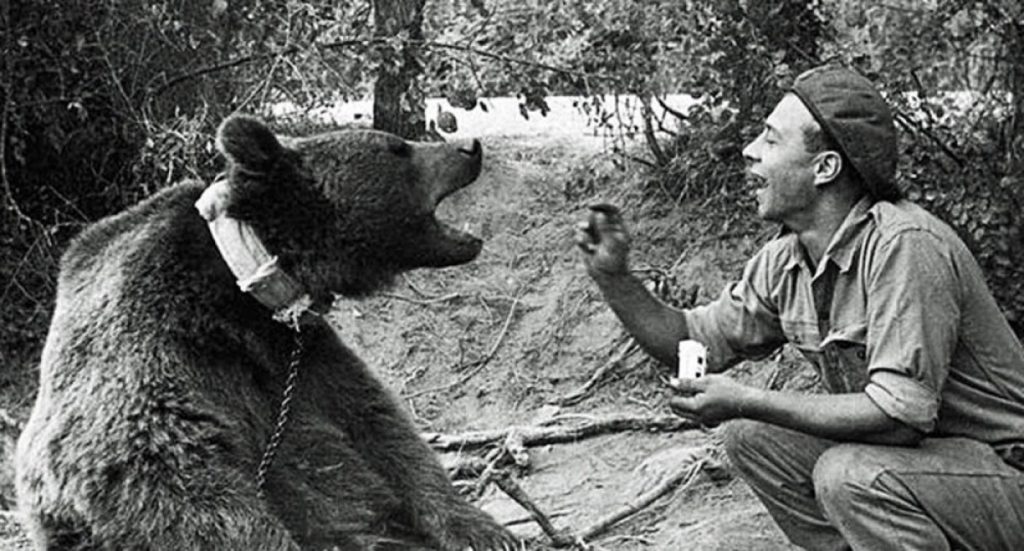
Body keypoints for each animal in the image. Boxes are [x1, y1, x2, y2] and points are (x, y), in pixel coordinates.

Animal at [14, 115, 522, 551]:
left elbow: (379, 427)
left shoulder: (304, 353)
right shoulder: (154, 347)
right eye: (398, 148)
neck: (248, 288)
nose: (470, 147)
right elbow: (162, 466)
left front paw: (484, 530)